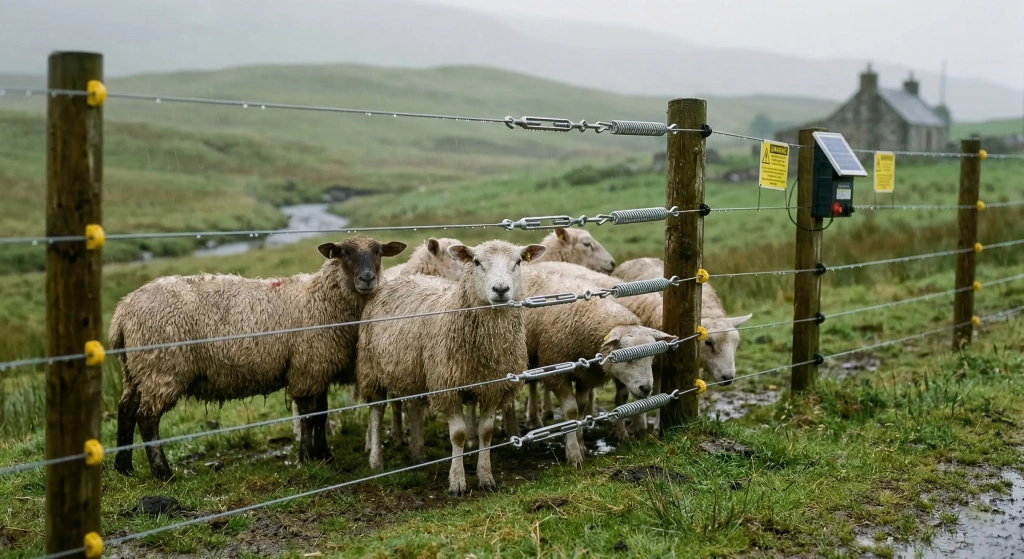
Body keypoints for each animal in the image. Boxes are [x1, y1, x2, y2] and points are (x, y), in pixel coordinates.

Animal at [110, 235, 406, 481]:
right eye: (343, 253)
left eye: (378, 252)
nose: (367, 279)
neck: (321, 299)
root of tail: (122, 313)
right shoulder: (306, 367)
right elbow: (308, 416)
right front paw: (306, 458)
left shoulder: (317, 367)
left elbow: (320, 415)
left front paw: (325, 456)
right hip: (162, 368)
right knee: (147, 418)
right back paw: (163, 473)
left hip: (135, 370)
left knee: (125, 411)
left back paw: (124, 468)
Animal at [357, 239, 546, 496]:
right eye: (476, 262)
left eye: (518, 262)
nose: (500, 289)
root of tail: (402, 278)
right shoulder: (447, 386)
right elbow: (458, 435)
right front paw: (457, 482)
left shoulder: (492, 388)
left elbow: (486, 432)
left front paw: (486, 477)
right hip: (371, 369)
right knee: (376, 412)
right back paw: (376, 460)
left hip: (414, 370)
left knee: (413, 407)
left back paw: (418, 453)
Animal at [519, 268, 672, 466]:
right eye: (627, 357)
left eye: (652, 356)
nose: (646, 388)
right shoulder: (556, 372)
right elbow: (571, 411)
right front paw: (574, 454)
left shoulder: (585, 375)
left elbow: (581, 407)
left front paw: (581, 444)